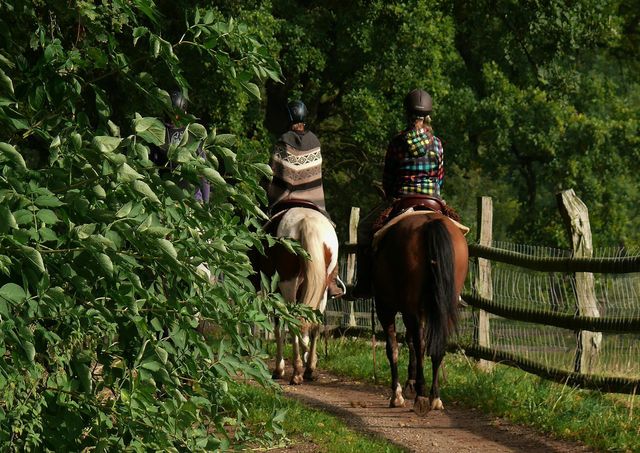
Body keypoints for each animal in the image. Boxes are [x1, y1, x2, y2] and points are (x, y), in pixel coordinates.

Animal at [372, 212, 468, 414]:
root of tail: (430, 222)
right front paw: (410, 383)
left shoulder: (385, 307)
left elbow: (393, 348)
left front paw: (398, 394)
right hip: (443, 308)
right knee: (436, 346)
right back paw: (434, 397)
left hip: (409, 308)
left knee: (420, 344)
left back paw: (421, 396)